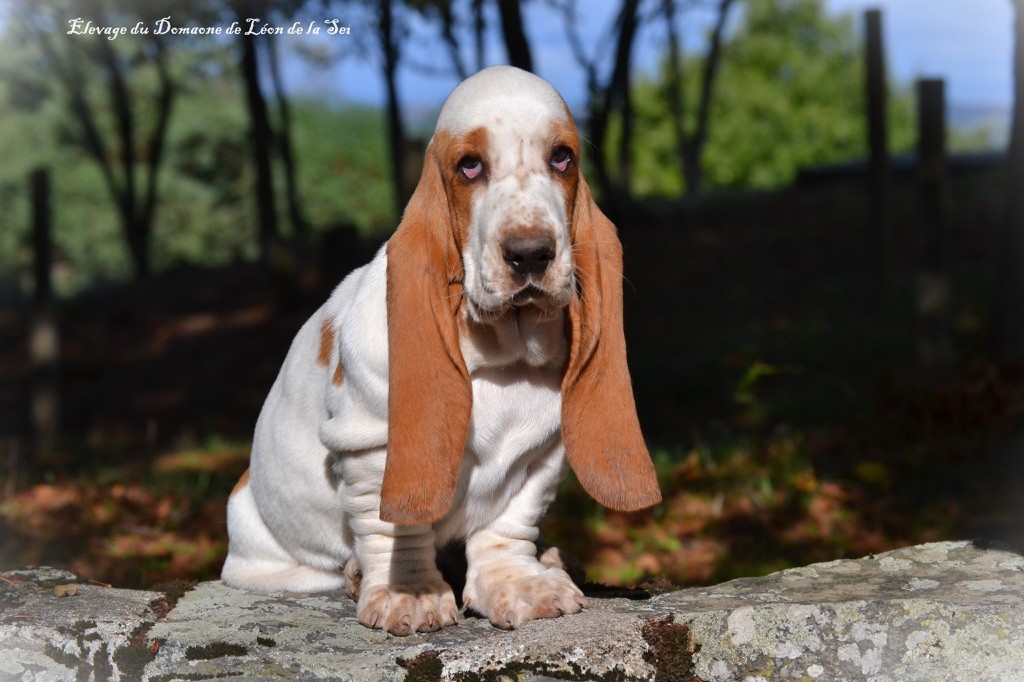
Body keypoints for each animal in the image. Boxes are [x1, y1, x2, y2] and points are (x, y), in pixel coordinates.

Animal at [220, 65, 659, 630]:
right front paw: (408, 594)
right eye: (469, 165)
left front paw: (521, 584)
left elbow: (507, 528)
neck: (502, 357)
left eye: (562, 157)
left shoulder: (541, 460)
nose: (530, 253)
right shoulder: (373, 447)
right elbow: (396, 528)